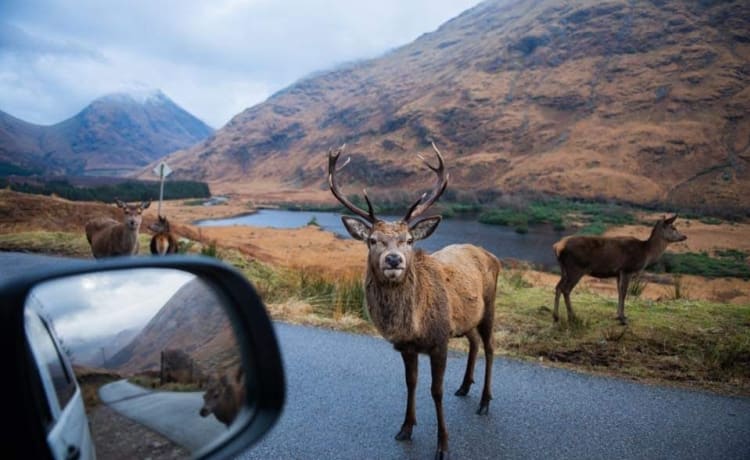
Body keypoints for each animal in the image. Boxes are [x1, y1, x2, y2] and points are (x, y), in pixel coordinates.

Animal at [328, 144, 500, 460]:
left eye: (409, 240)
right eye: (372, 240)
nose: (394, 260)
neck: (414, 325)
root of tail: (489, 254)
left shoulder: (440, 339)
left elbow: (436, 391)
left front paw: (443, 444)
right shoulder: (406, 347)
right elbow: (411, 384)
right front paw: (405, 428)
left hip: (490, 307)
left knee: (491, 347)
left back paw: (484, 401)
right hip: (466, 319)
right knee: (474, 342)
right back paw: (465, 387)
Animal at [556, 215, 692, 326]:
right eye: (673, 227)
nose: (684, 236)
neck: (646, 253)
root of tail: (558, 247)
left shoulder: (618, 273)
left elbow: (619, 292)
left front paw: (618, 315)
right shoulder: (627, 269)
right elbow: (625, 292)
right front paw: (622, 318)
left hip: (564, 269)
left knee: (558, 287)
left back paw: (556, 317)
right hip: (576, 268)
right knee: (566, 289)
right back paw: (572, 317)